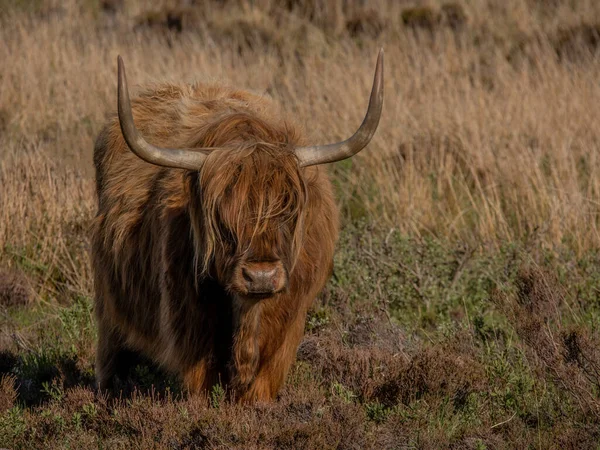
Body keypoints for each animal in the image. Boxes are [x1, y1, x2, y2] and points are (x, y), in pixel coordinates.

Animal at [92, 49, 384, 400]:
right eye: (221, 218)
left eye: (288, 212)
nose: (261, 276)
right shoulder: (191, 333)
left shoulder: (284, 336)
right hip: (107, 302)